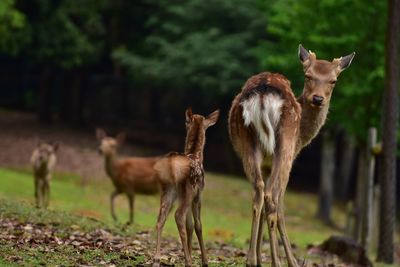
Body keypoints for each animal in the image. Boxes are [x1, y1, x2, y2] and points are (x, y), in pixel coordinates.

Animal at [152, 108, 219, 267]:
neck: (196, 154)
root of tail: (171, 165)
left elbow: (190, 226)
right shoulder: (198, 194)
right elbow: (198, 225)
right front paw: (204, 261)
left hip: (169, 190)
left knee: (160, 219)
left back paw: (157, 259)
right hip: (188, 189)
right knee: (178, 216)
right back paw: (188, 261)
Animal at [228, 45, 354, 266]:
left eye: (333, 80)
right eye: (308, 75)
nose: (318, 99)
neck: (303, 136)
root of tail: (263, 95)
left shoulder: (266, 165)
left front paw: (260, 258)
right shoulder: (291, 155)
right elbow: (280, 207)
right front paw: (291, 260)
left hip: (248, 146)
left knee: (258, 193)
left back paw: (251, 259)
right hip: (285, 145)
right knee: (272, 197)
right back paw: (278, 262)